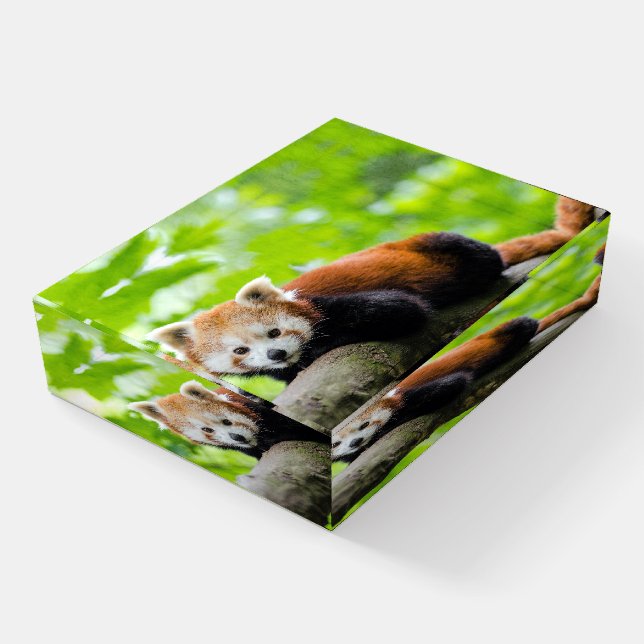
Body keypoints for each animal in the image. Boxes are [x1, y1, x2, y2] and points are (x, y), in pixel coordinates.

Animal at [149, 197, 596, 382]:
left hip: (441, 246)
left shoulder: (335, 304)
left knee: (479, 257)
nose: (276, 354)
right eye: (240, 351)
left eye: (274, 332)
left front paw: (318, 350)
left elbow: (401, 309)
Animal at [332, 248, 604, 461]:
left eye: (365, 425)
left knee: (521, 326)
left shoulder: (415, 393)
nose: (355, 443)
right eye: (336, 443)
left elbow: (451, 385)